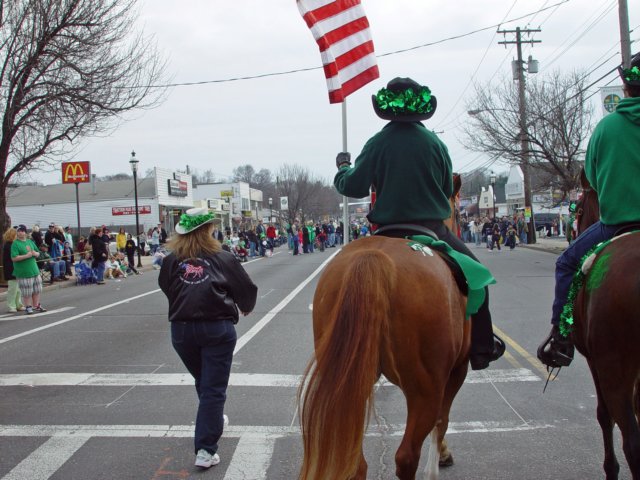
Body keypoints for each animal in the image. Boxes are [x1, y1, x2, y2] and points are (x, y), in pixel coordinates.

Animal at [298, 177, 470, 480]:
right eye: (460, 215)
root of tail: (373, 258)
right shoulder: (456, 371)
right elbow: (443, 420)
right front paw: (439, 460)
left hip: (352, 382)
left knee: (358, 463)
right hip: (425, 389)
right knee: (406, 456)